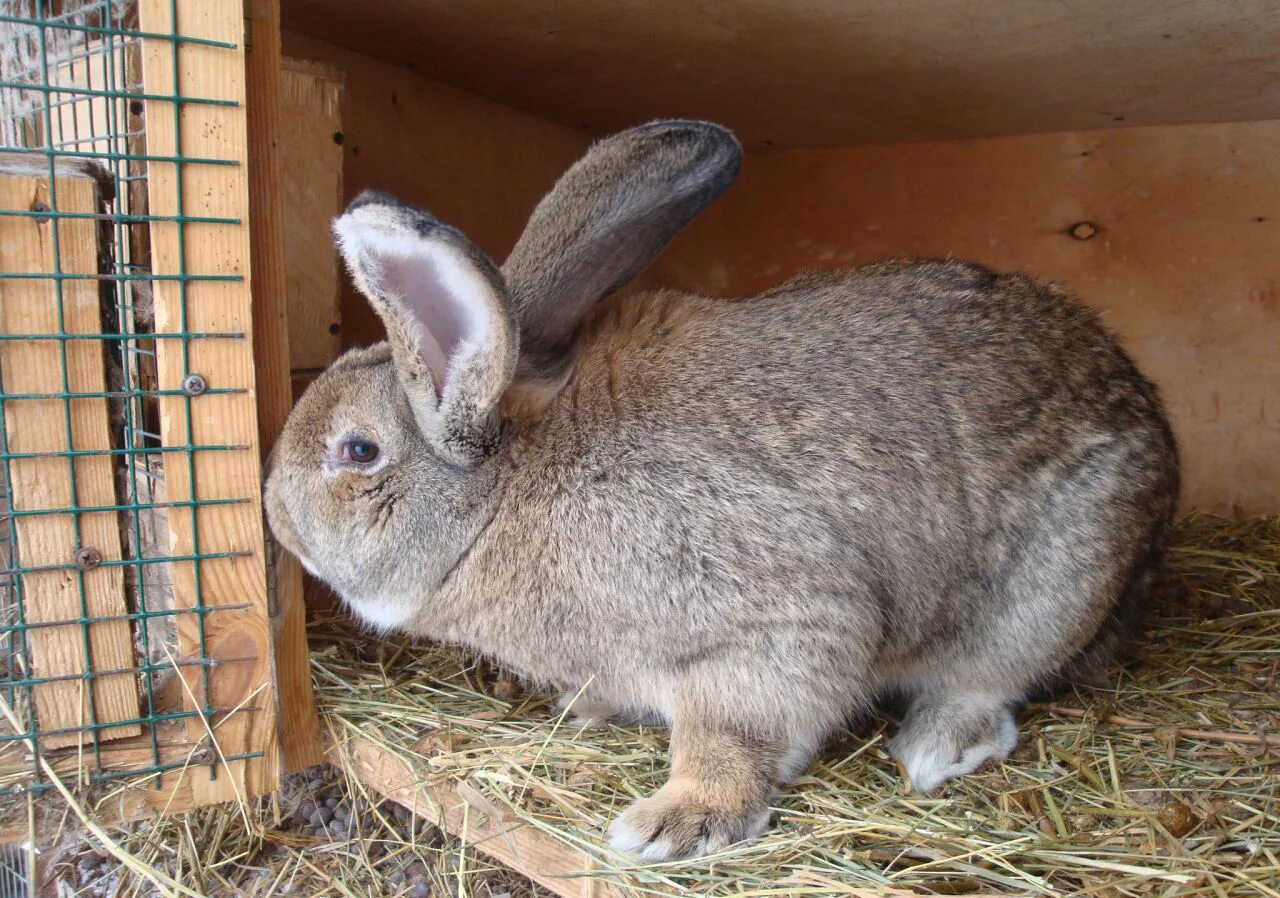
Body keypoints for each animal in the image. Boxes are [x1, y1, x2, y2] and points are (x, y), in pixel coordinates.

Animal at [267, 121, 1177, 864]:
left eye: (357, 451)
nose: (273, 512)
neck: (504, 498)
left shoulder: (772, 623)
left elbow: (733, 733)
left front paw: (675, 823)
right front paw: (593, 716)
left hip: (1050, 588)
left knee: (990, 682)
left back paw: (933, 747)